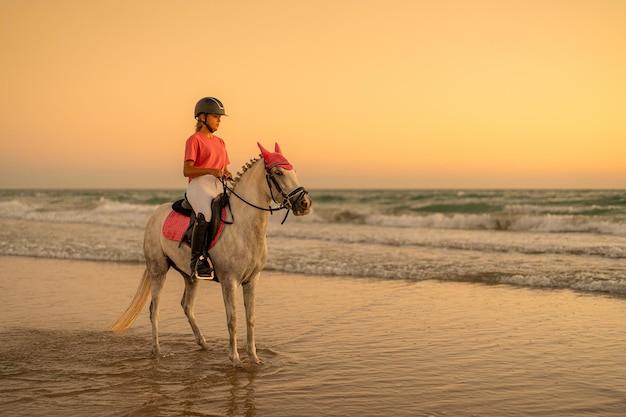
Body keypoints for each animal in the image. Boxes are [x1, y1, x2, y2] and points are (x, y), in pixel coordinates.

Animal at [111, 142, 310, 364]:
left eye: (293, 171)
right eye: (278, 172)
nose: (305, 204)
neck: (242, 225)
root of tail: (155, 214)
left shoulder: (252, 280)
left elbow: (250, 319)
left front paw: (254, 358)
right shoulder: (229, 281)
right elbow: (233, 320)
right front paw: (235, 359)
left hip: (190, 275)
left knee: (187, 306)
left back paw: (204, 344)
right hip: (158, 270)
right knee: (155, 309)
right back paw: (157, 351)